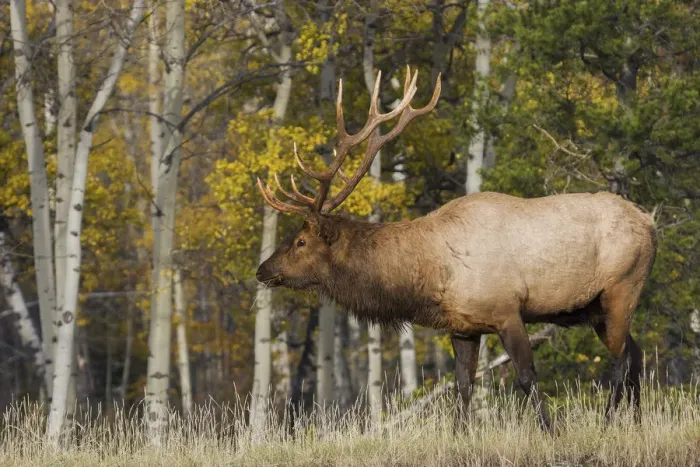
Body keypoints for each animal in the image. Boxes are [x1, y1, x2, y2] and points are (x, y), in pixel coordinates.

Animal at [254, 67, 658, 432]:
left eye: (300, 241)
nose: (262, 269)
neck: (431, 274)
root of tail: (650, 223)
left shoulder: (507, 310)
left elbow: (526, 376)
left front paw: (551, 430)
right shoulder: (463, 326)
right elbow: (463, 384)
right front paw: (461, 433)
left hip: (620, 287)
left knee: (622, 358)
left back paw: (607, 423)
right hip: (595, 308)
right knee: (636, 354)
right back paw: (636, 424)